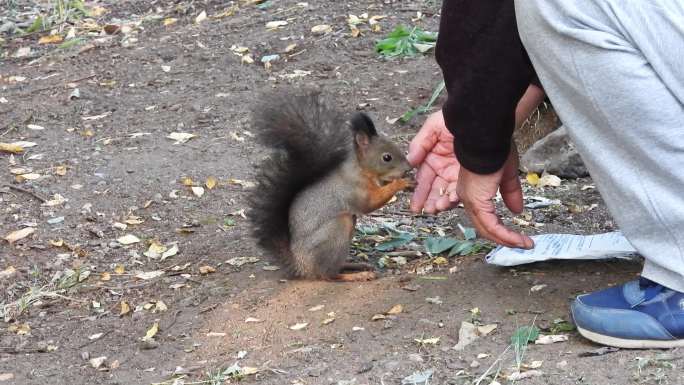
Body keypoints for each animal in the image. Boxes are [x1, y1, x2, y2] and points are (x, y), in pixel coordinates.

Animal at [248, 91, 414, 280]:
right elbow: (368, 204)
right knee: (328, 275)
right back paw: (354, 275)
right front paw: (401, 183)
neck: (362, 170)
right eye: (387, 157)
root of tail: (301, 266)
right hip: (336, 230)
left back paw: (354, 265)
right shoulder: (352, 188)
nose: (408, 168)